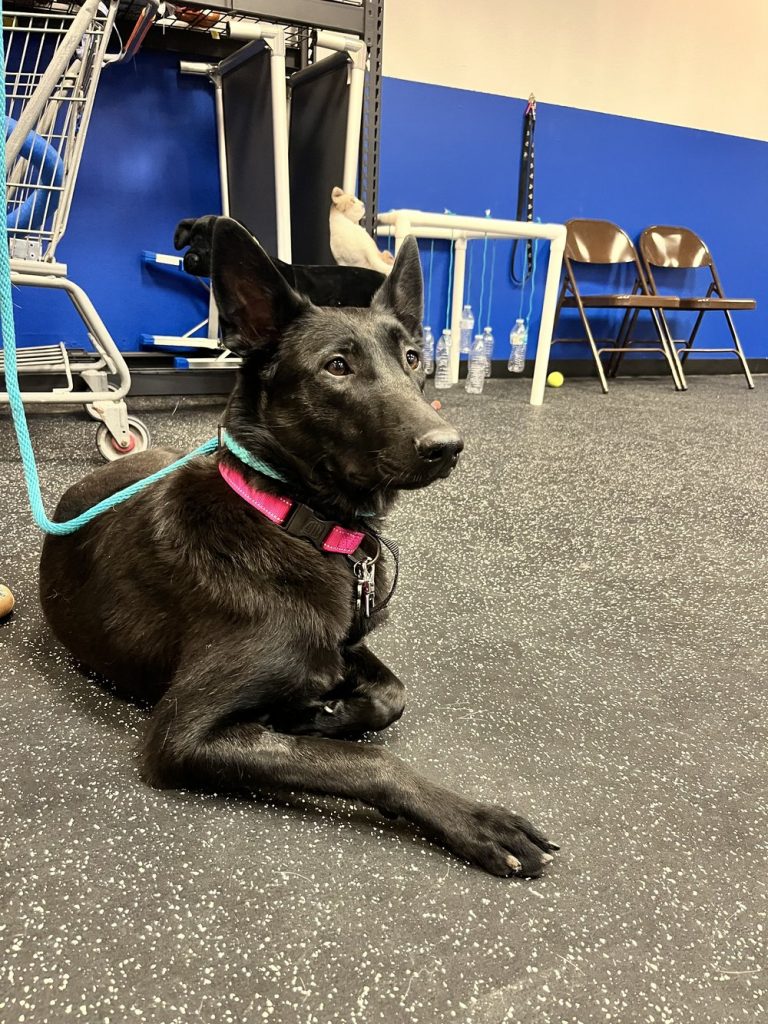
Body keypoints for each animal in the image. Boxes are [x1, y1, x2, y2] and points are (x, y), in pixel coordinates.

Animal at [40, 220, 561, 876]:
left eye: (413, 358)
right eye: (337, 366)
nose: (448, 445)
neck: (293, 520)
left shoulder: (347, 642)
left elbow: (392, 694)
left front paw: (322, 713)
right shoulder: (181, 736)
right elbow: (370, 760)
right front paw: (472, 818)